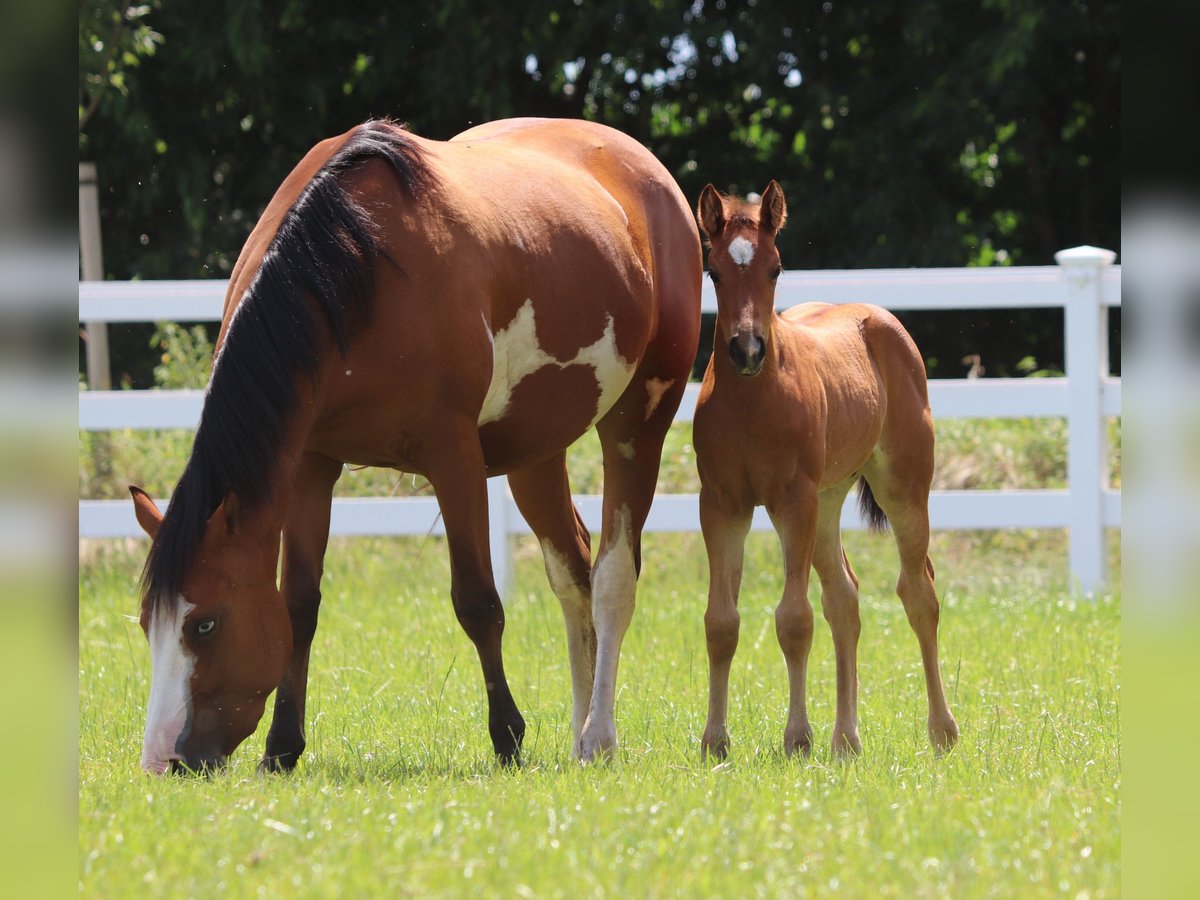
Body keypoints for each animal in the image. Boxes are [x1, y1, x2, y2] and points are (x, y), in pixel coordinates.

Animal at [129, 118, 701, 773]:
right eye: (146, 623)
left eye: (203, 626)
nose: (164, 760)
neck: (349, 270)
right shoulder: (311, 464)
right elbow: (299, 604)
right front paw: (282, 747)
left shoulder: (454, 459)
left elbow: (477, 600)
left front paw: (507, 737)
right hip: (536, 452)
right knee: (572, 571)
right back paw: (580, 735)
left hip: (640, 422)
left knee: (612, 578)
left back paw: (600, 734)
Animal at [692, 181, 959, 758]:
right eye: (714, 272)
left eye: (775, 268)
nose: (747, 349)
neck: (754, 402)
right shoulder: (722, 504)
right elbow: (721, 622)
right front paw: (715, 741)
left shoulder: (793, 500)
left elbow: (794, 619)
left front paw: (797, 738)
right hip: (829, 500)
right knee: (845, 599)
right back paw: (846, 740)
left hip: (901, 490)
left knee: (919, 593)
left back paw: (942, 731)